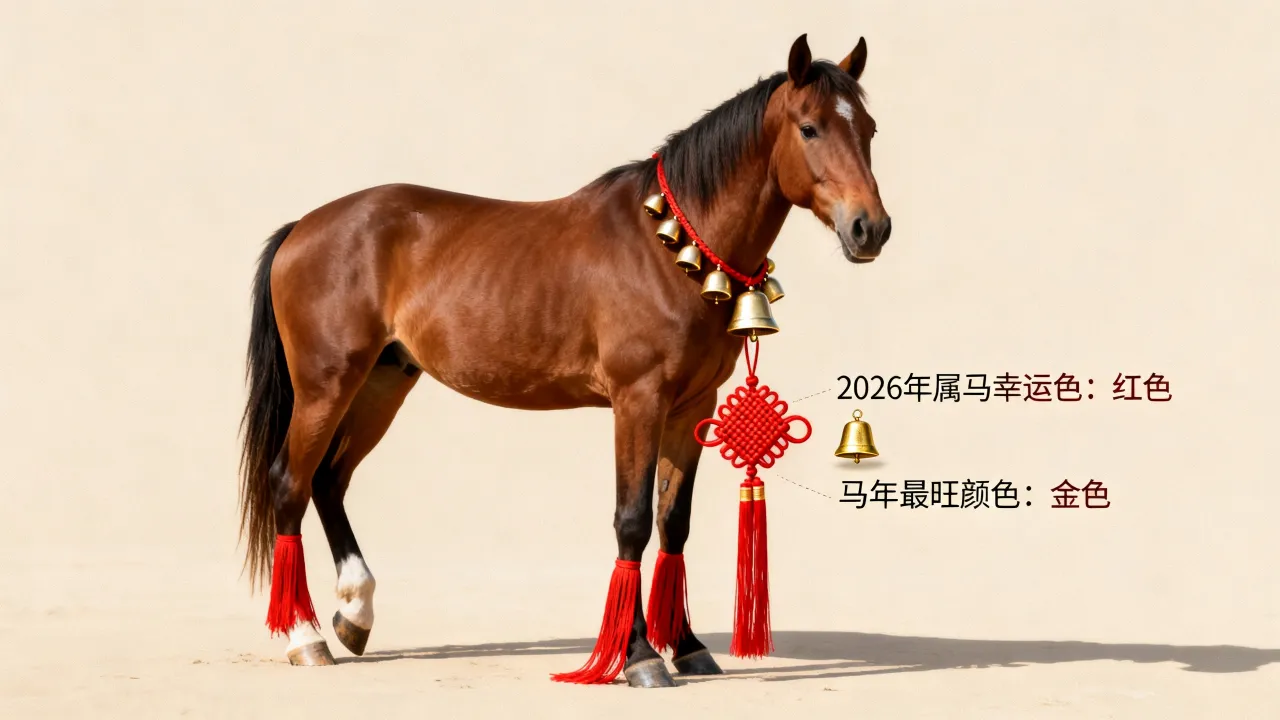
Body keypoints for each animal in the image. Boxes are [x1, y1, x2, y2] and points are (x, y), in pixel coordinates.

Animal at [237, 32, 891, 688]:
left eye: (870, 128)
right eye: (809, 128)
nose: (870, 229)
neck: (668, 248)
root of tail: (304, 226)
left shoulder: (691, 406)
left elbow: (672, 522)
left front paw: (686, 646)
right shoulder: (638, 399)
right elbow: (632, 520)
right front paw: (640, 657)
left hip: (383, 380)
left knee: (330, 479)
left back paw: (355, 616)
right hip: (326, 384)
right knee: (290, 483)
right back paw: (306, 638)